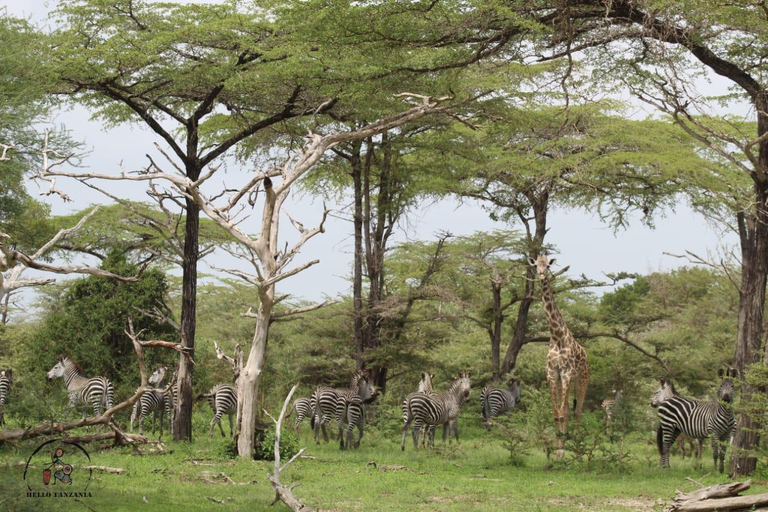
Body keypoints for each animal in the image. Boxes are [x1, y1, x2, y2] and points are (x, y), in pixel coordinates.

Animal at [528, 254, 588, 458]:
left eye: (547, 265)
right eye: (536, 265)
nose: (540, 275)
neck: (557, 335)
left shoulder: (567, 373)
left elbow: (563, 413)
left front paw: (562, 451)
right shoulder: (552, 374)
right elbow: (557, 414)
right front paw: (557, 451)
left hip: (582, 380)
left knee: (578, 411)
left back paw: (578, 448)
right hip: (565, 381)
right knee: (569, 410)